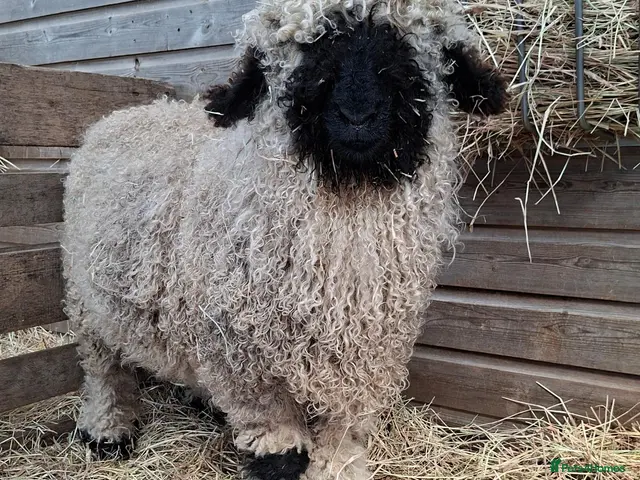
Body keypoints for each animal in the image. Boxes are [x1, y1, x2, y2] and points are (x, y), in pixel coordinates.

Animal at [61, 1, 508, 479]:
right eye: (305, 50)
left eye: (411, 45)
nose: (357, 117)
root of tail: (126, 114)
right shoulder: (240, 357)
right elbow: (275, 437)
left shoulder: (368, 352)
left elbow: (344, 431)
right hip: (85, 299)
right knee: (102, 369)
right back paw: (107, 431)